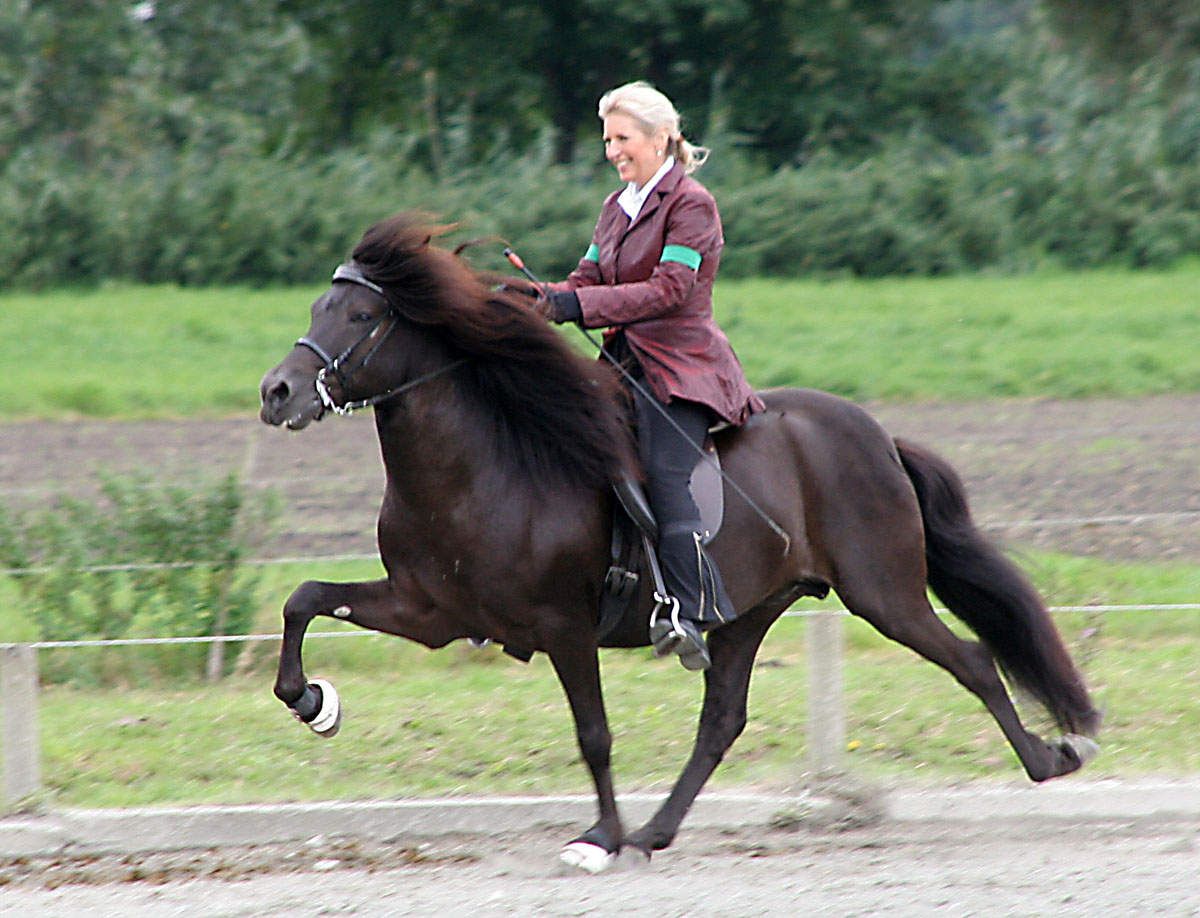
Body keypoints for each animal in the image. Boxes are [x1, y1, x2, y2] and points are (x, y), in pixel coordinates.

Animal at [258, 214, 1101, 873]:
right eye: (319, 305)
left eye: (361, 318)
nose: (277, 392)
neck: (479, 468)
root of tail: (878, 437)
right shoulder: (429, 610)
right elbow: (305, 599)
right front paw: (313, 702)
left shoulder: (564, 626)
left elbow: (594, 734)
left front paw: (598, 837)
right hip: (749, 612)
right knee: (722, 721)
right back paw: (657, 831)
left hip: (883, 592)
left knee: (973, 660)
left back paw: (1052, 758)